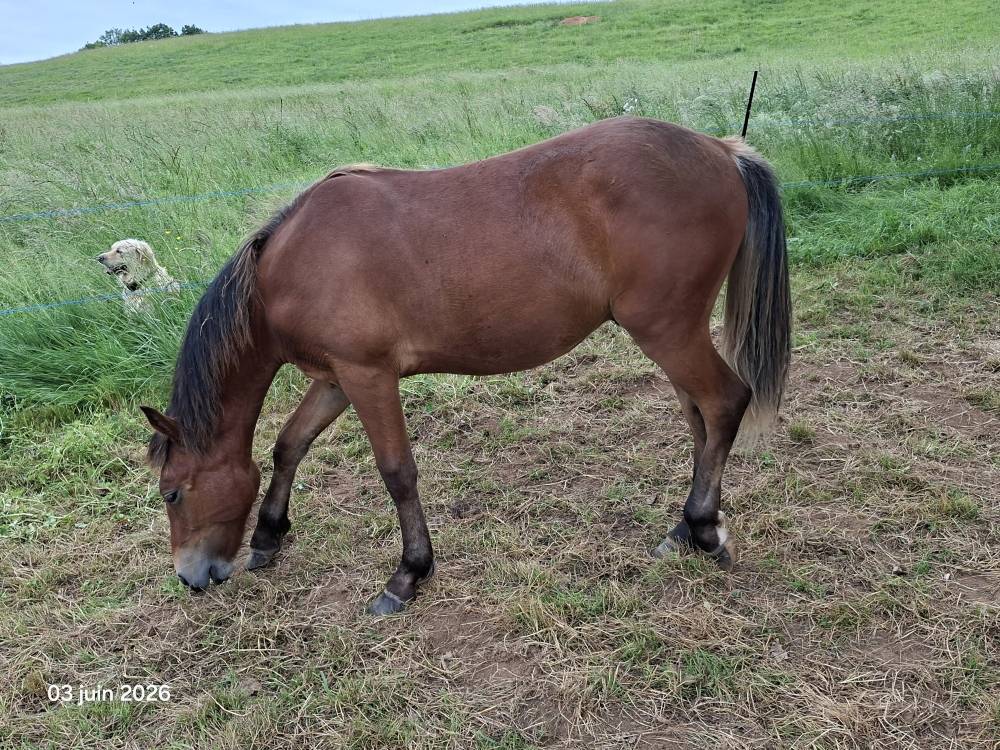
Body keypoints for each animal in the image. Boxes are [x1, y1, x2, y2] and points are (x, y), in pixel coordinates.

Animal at [141, 116, 791, 615]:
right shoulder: (335, 379)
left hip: (666, 330)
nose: (190, 577)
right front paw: (269, 535)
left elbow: (397, 472)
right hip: (672, 334)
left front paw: (408, 573)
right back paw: (683, 528)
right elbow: (288, 446)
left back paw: (704, 527)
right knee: (700, 418)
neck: (289, 265)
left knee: (724, 401)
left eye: (171, 493)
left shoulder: (368, 376)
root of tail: (721, 151)